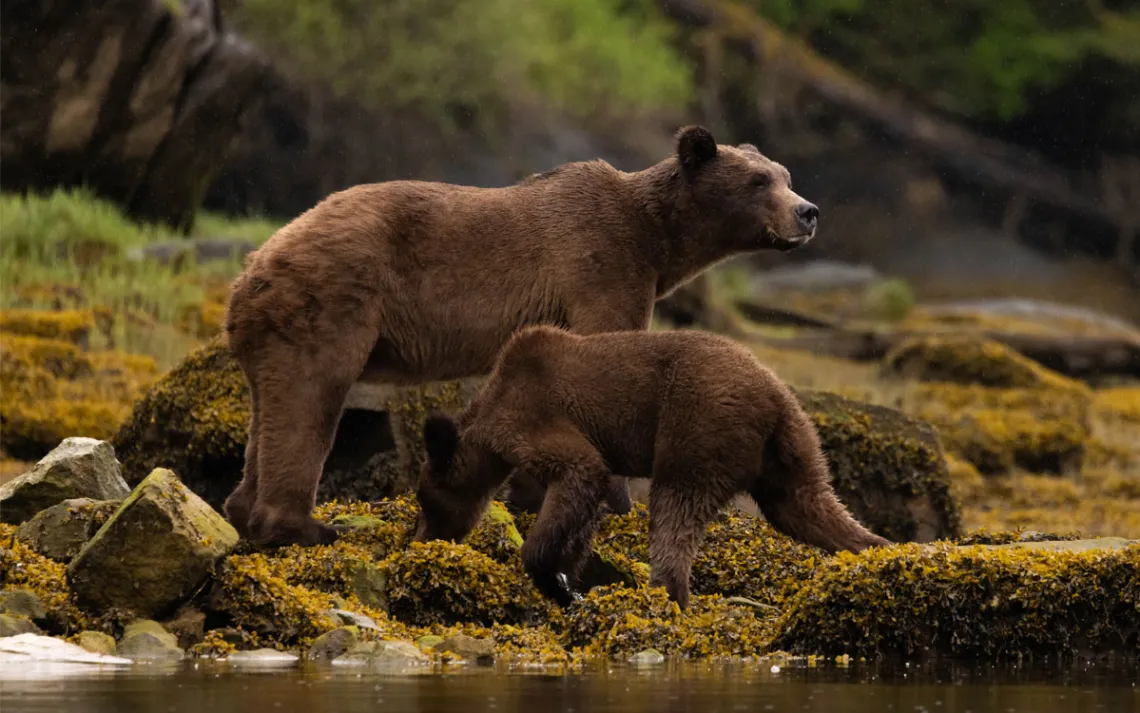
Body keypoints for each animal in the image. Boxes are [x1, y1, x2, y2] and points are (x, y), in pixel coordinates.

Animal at [223, 124, 822, 547]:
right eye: (758, 182)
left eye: (786, 175)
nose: (808, 211)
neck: (658, 239)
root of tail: (255, 263)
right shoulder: (601, 263)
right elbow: (609, 352)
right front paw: (617, 499)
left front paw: (532, 493)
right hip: (332, 296)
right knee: (312, 400)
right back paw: (303, 526)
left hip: (274, 323)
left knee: (271, 408)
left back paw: (242, 510)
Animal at [412, 325, 891, 610]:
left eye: (426, 502)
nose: (418, 539)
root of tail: (773, 397)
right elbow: (586, 506)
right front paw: (568, 577)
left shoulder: (535, 415)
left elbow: (579, 473)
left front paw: (552, 577)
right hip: (792, 449)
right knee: (809, 506)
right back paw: (875, 552)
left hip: (697, 424)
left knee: (675, 508)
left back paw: (662, 593)